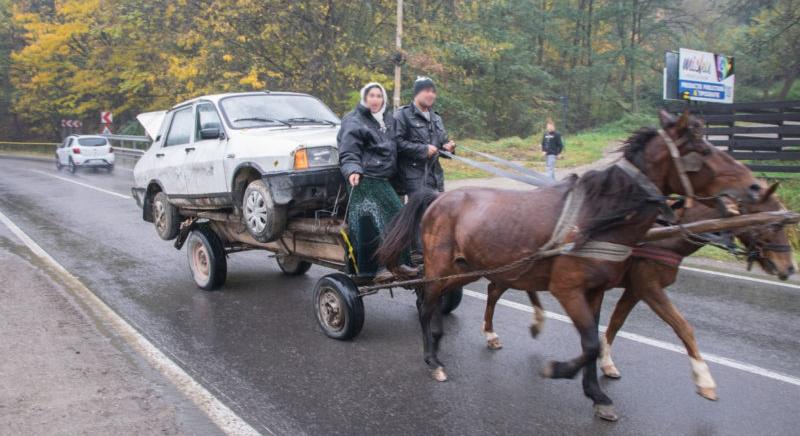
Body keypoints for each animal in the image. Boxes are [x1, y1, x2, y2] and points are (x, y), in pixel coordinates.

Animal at [476, 182, 792, 404]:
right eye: (772, 223)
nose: (788, 268)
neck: (664, 235)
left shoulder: (634, 289)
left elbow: (616, 322)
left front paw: (606, 362)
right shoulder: (648, 287)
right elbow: (683, 327)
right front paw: (705, 381)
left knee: (499, 288)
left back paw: (526, 323)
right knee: (495, 290)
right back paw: (493, 332)